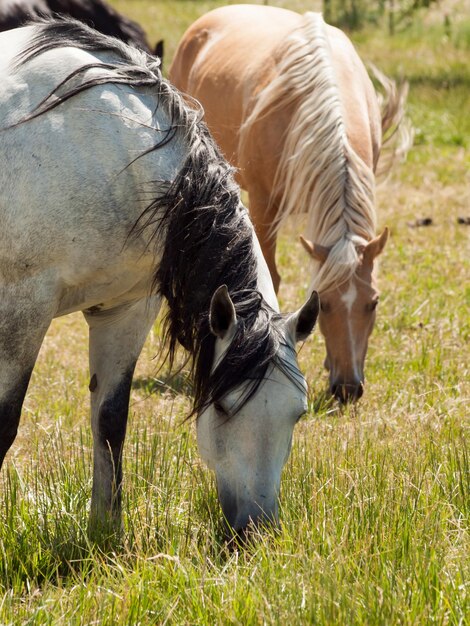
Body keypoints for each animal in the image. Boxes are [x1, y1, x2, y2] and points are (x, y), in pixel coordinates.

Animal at [0, 20, 320, 536]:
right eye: (225, 406)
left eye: (299, 412)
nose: (255, 527)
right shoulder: (23, 309)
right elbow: (5, 424)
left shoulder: (125, 311)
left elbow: (111, 420)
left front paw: (106, 531)